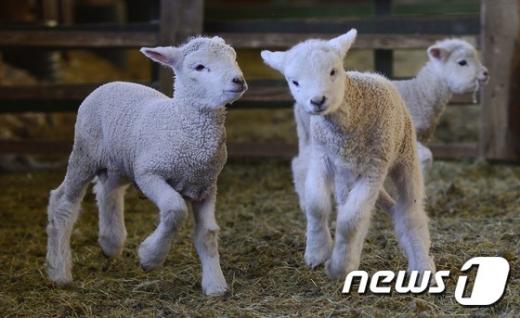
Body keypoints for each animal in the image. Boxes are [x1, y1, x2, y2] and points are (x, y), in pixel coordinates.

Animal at [45, 36, 247, 296]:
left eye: (233, 58)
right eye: (199, 67)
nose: (238, 81)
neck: (182, 123)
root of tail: (110, 83)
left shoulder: (206, 186)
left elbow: (207, 234)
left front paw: (215, 284)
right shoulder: (149, 172)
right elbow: (175, 209)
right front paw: (150, 257)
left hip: (120, 163)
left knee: (108, 191)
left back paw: (111, 242)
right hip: (85, 153)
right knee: (62, 203)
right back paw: (59, 271)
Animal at [260, 29, 434, 278]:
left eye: (333, 71)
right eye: (294, 82)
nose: (317, 101)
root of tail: (373, 74)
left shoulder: (374, 167)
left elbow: (349, 221)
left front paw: (337, 266)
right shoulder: (321, 157)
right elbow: (318, 206)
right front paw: (318, 251)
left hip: (404, 155)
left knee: (410, 211)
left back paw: (421, 264)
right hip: (345, 174)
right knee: (353, 207)